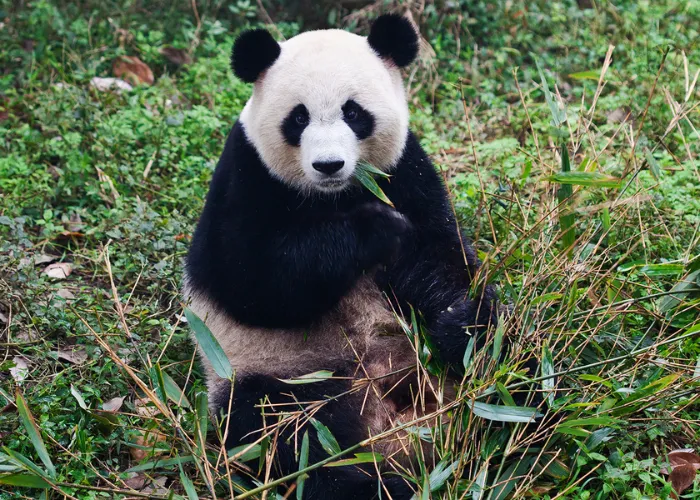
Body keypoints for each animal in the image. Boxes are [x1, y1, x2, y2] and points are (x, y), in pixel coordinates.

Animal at [185, 14, 504, 500]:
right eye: (297, 117)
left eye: (353, 113)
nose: (329, 165)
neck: (334, 196)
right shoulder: (247, 176)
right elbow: (252, 282)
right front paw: (376, 229)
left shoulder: (402, 168)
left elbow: (437, 255)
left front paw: (459, 322)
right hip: (282, 372)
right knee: (285, 434)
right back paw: (376, 484)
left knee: (516, 362)